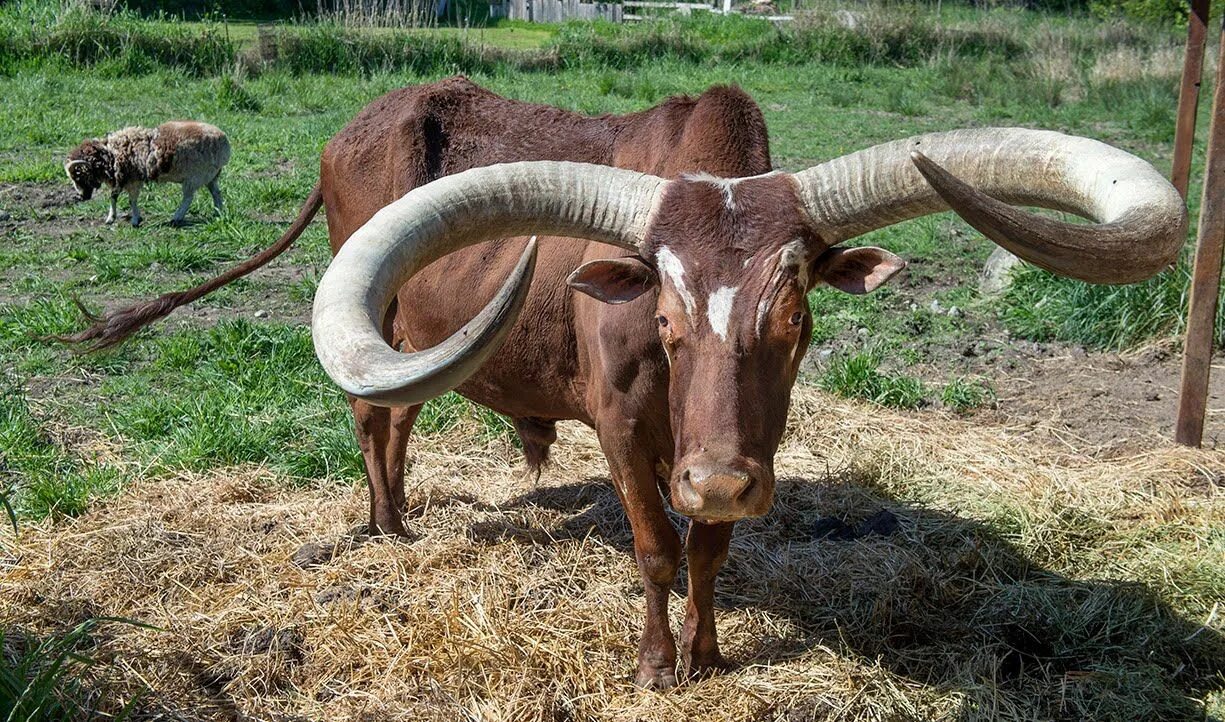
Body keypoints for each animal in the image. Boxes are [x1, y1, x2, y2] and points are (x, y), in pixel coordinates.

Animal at [64, 121, 231, 226]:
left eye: (78, 176)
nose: (82, 197)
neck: (111, 154)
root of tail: (224, 144)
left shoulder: (132, 179)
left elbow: (131, 200)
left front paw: (135, 220)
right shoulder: (122, 178)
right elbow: (114, 196)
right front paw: (111, 218)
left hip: (195, 177)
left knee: (188, 198)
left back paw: (176, 218)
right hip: (211, 176)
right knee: (216, 193)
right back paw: (218, 213)